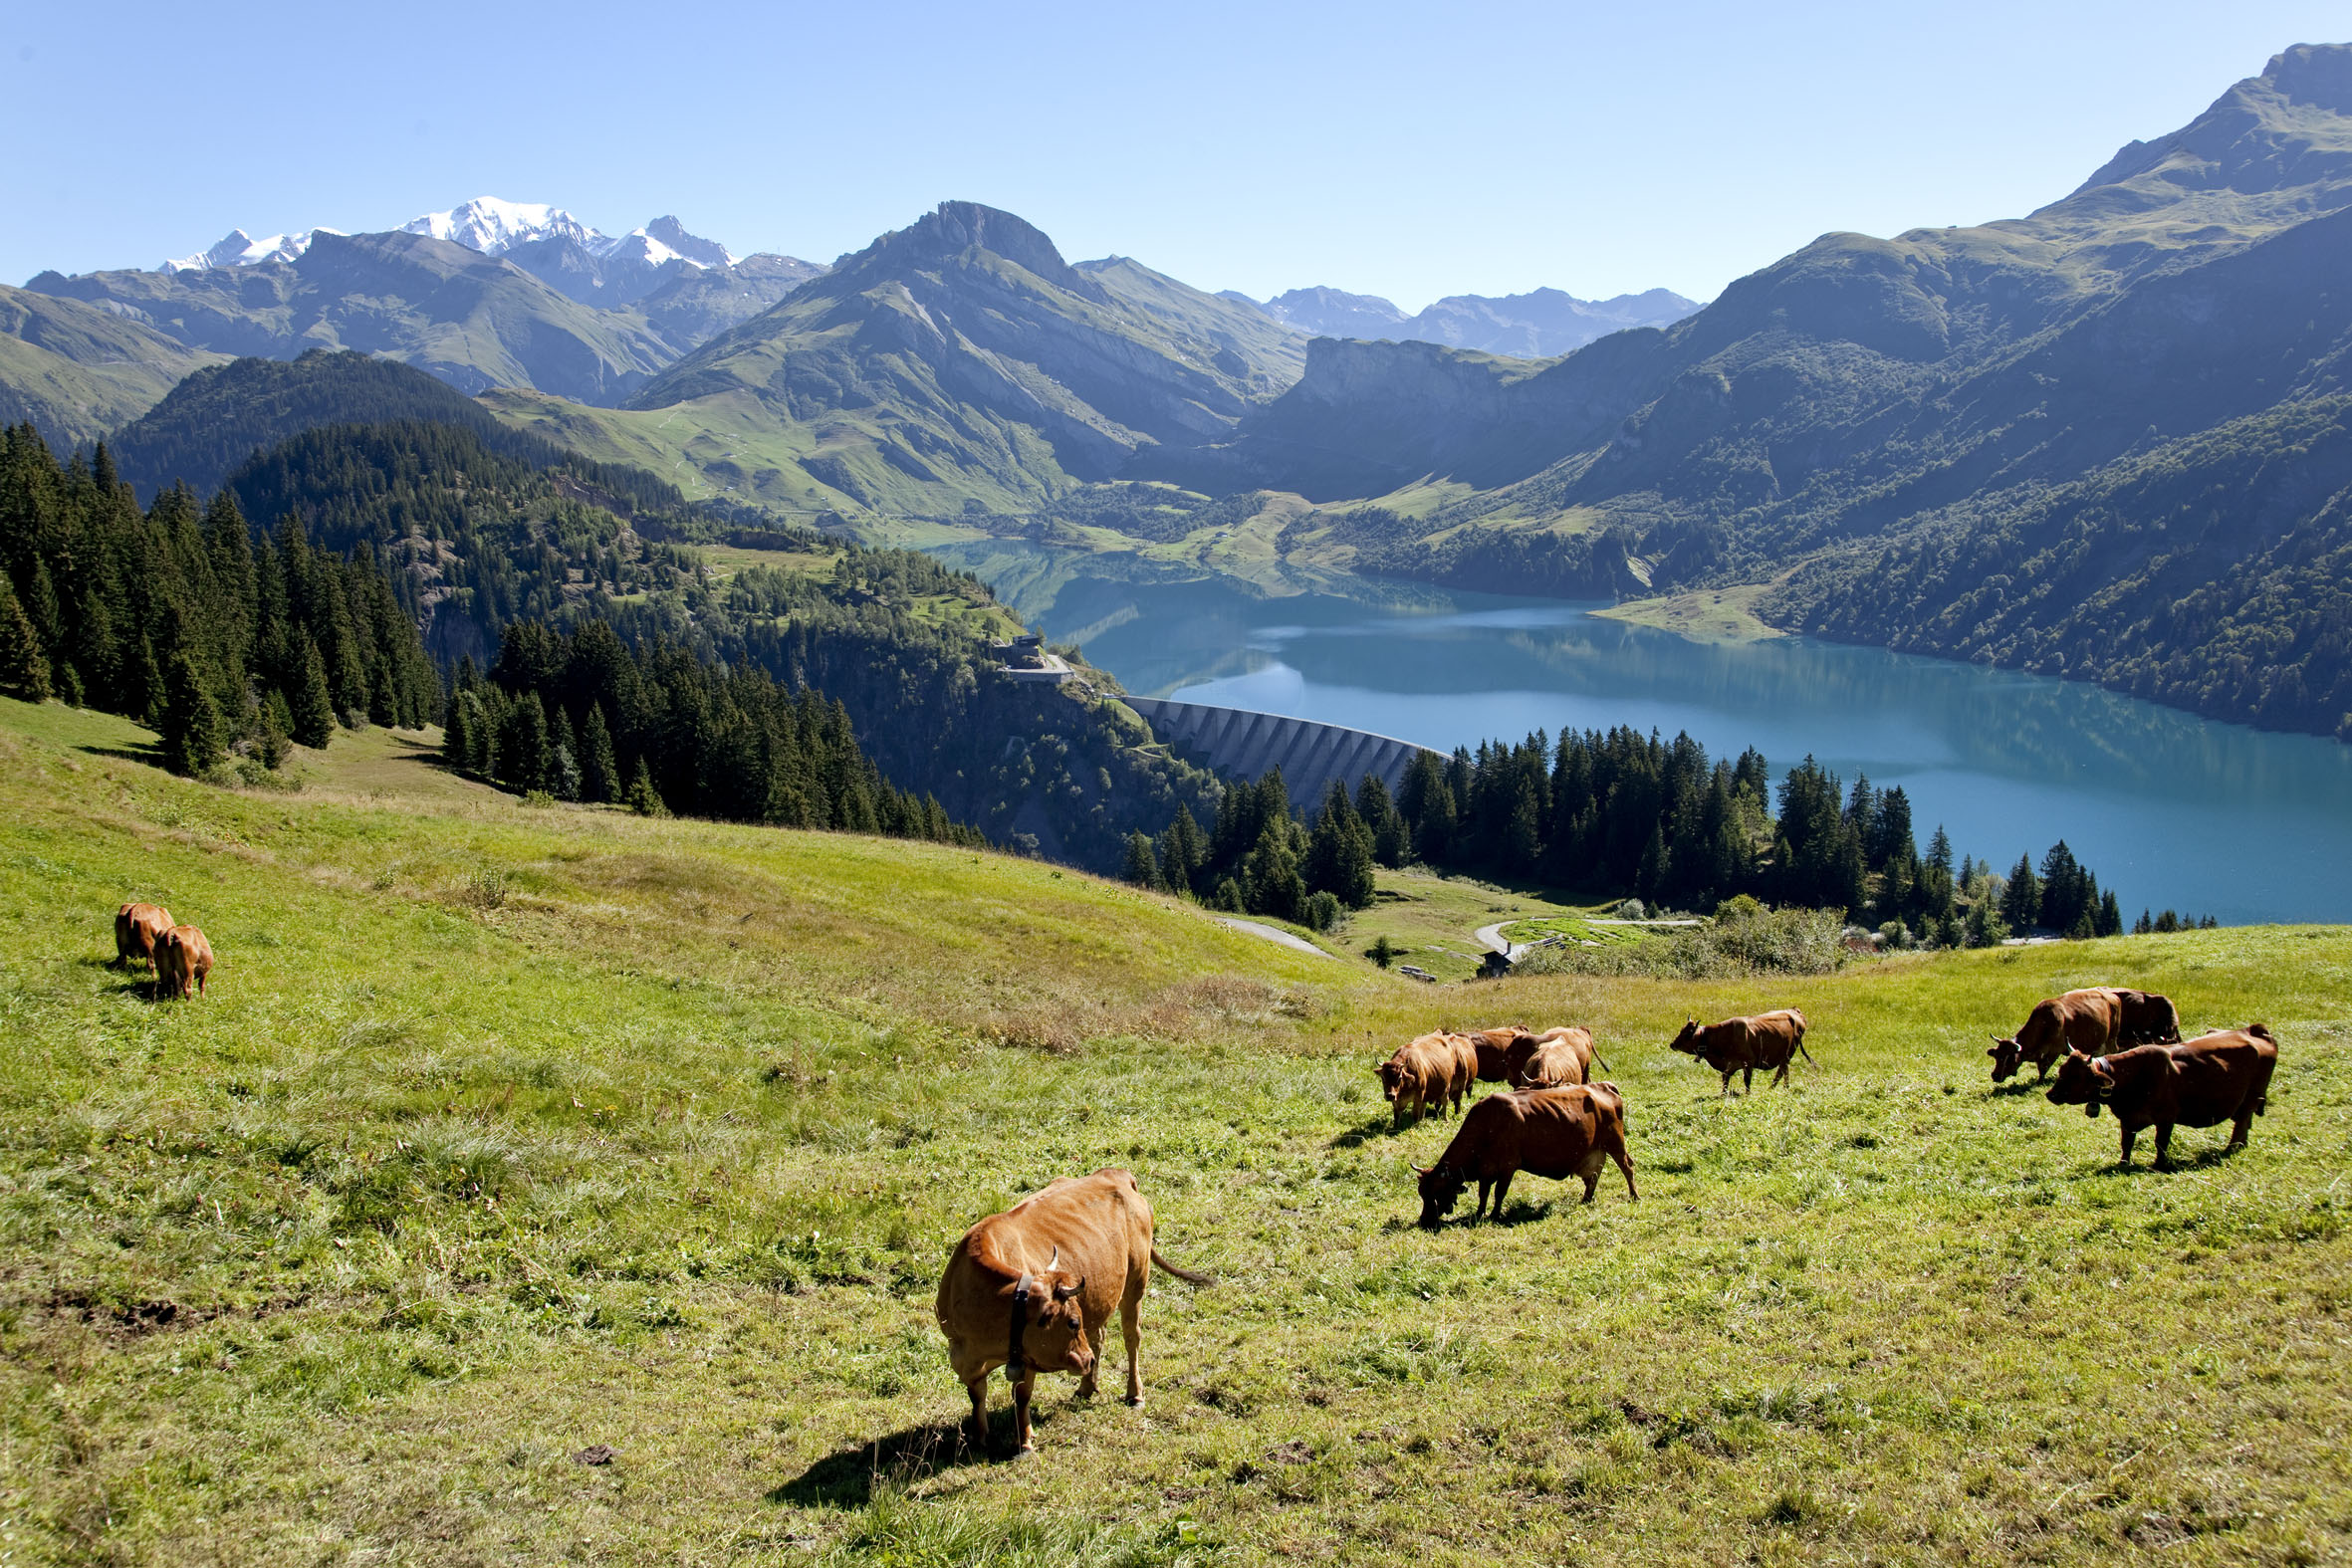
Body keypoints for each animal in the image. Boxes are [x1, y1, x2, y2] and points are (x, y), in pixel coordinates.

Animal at [935, 1168, 1212, 1454]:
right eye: (1072, 1322)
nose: (1086, 1360)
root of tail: (1116, 1173)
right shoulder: (961, 1353)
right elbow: (976, 1395)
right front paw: (978, 1438)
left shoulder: (1028, 1356)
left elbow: (1021, 1396)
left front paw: (1024, 1442)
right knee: (1098, 1337)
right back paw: (1087, 1386)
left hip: (1136, 1280)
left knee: (1131, 1337)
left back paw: (1134, 1393)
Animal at [1412, 1083, 1636, 1227]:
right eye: (1422, 1193)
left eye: (1436, 1192)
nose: (1424, 1221)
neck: (1488, 1124)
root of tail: (1604, 1086)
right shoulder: (1486, 1170)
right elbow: (1483, 1194)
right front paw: (1479, 1213)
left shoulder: (1508, 1166)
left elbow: (1499, 1193)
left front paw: (1494, 1215)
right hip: (1595, 1151)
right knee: (1593, 1177)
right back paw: (1586, 1200)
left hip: (1615, 1143)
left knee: (1627, 1168)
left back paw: (1634, 1196)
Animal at [1667, 1009, 1811, 1097]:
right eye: (1681, 1030)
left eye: (1688, 1034)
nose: (1672, 1044)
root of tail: (1795, 1012)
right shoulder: (1730, 1064)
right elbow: (1725, 1077)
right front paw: (1723, 1094)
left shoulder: (1748, 1063)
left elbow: (1746, 1080)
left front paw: (1747, 1094)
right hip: (1785, 1056)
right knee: (1785, 1070)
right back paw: (1785, 1087)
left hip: (1788, 1053)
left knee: (1780, 1072)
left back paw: (1772, 1088)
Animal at [1989, 989, 2122, 1082]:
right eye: (1996, 1056)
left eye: (2008, 1058)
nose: (1995, 1075)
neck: (2045, 1024)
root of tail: (2113, 996)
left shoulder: (2055, 1051)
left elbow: (2043, 1067)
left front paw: (2040, 1082)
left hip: (2112, 1038)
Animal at [2046, 1027, 2278, 1169]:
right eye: (2062, 1070)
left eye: (2076, 1076)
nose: (2051, 1094)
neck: (2132, 1074)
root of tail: (2255, 1030)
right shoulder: (2128, 1119)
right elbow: (2126, 1144)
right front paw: (2123, 1163)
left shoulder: (2166, 1118)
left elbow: (2161, 1143)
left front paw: (2158, 1165)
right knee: (2244, 1125)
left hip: (2250, 1099)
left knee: (2241, 1124)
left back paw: (2231, 1148)